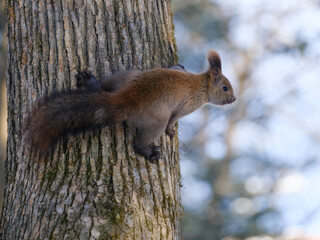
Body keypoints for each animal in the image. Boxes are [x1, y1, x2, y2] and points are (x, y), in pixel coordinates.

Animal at [23, 51, 235, 162]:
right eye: (225, 87)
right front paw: (171, 132)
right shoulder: (187, 105)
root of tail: (125, 99)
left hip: (125, 75)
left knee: (103, 87)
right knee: (140, 142)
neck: (201, 83)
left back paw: (90, 82)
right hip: (155, 121)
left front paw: (179, 66)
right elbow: (174, 119)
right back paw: (149, 152)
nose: (233, 99)